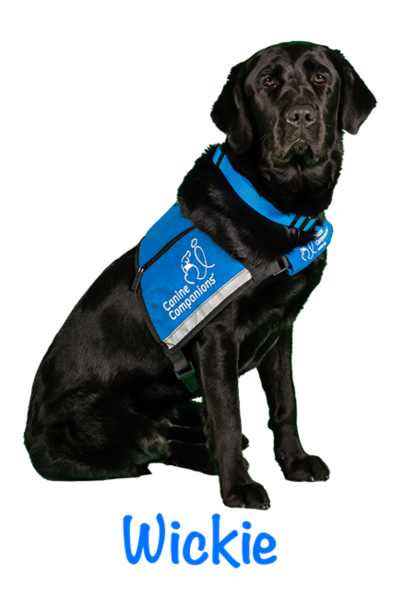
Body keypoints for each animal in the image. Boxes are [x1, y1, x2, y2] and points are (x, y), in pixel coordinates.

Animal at [24, 42, 376, 508]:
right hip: (102, 418)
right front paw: (238, 487)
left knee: (181, 422)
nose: (301, 115)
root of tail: (28, 437)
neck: (276, 206)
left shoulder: (281, 327)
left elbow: (286, 403)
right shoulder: (217, 339)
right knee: (158, 444)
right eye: (268, 81)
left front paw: (295, 463)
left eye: (321, 78)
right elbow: (227, 417)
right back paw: (212, 461)